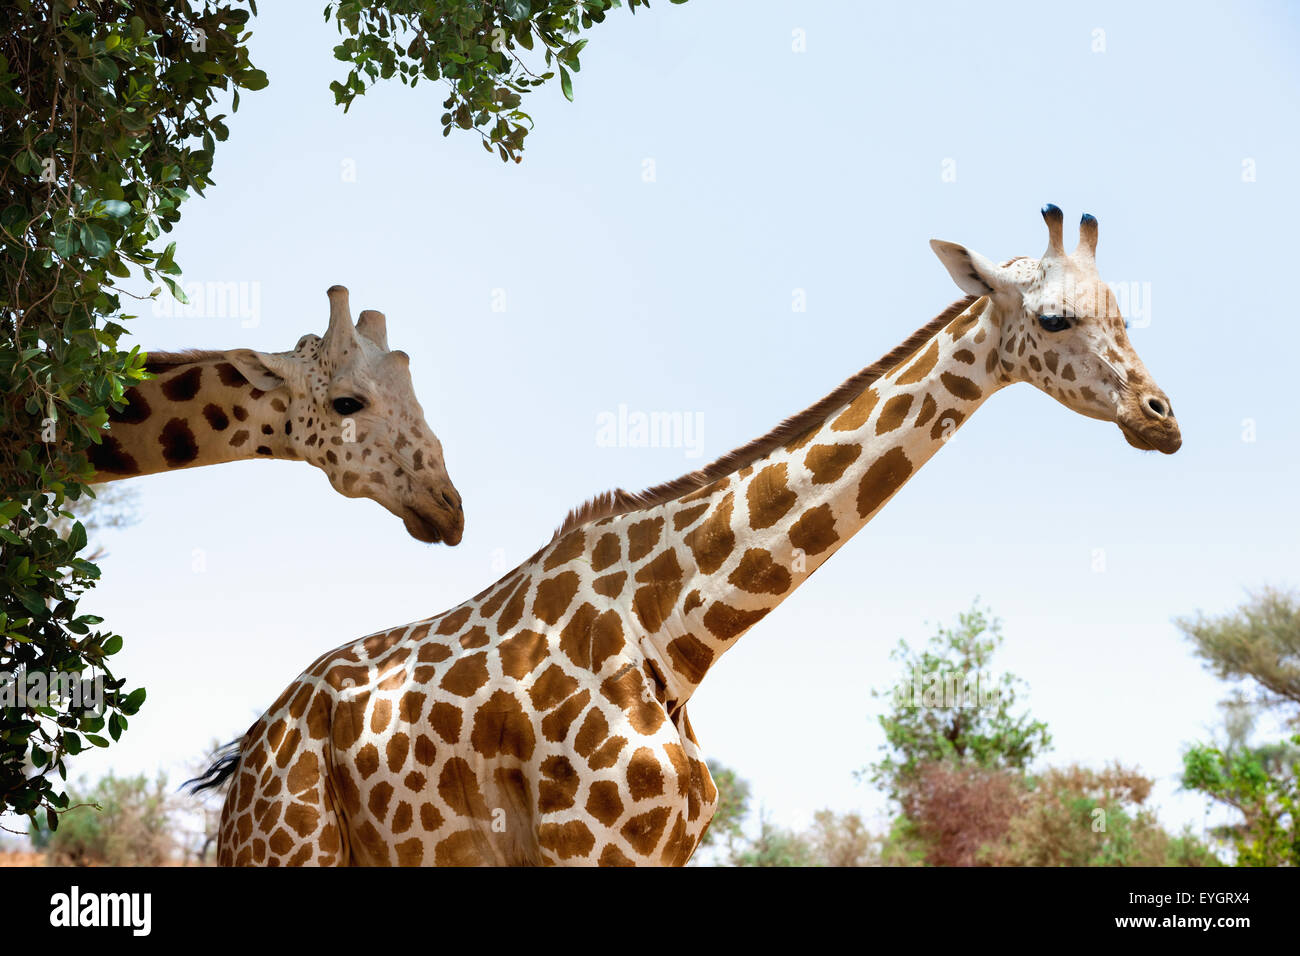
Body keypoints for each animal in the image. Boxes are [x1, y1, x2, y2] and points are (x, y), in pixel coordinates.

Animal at [202, 209, 1180, 868]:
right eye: (1053, 319)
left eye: (1125, 314)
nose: (1159, 417)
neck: (678, 632)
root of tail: (249, 750)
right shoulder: (589, 847)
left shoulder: (662, 850)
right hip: (286, 849)